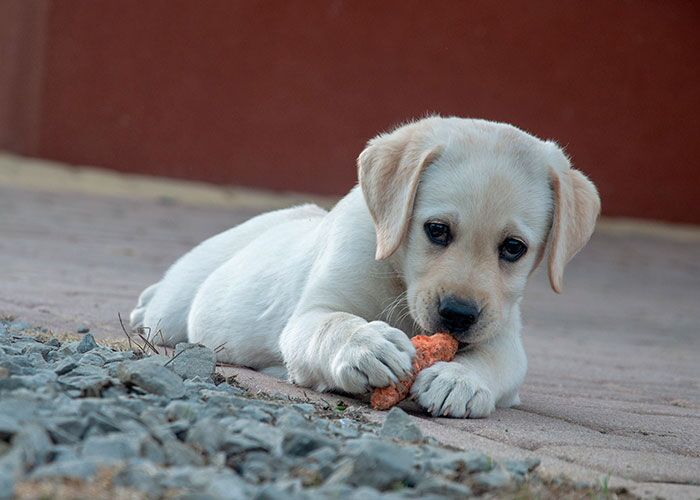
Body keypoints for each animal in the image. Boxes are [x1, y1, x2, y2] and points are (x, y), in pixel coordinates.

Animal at [133, 117, 600, 418]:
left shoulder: (503, 334)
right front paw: (366, 345)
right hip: (174, 310)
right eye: (436, 230)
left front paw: (460, 380)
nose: (458, 315)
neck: (398, 276)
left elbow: (495, 361)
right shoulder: (310, 314)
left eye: (513, 248)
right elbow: (333, 324)